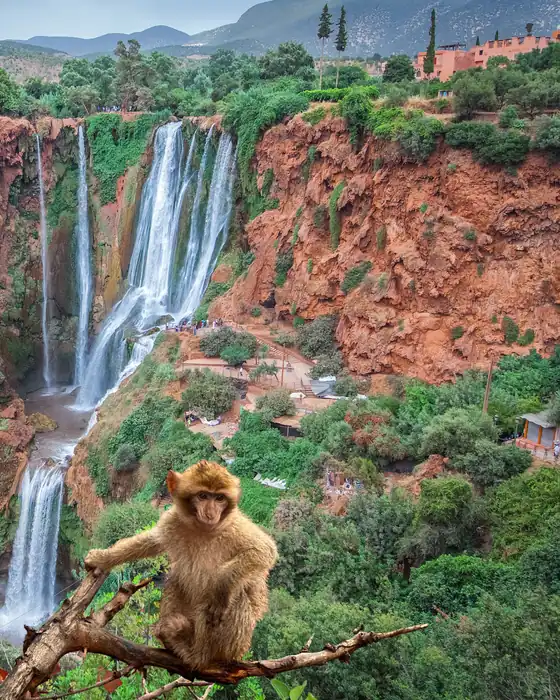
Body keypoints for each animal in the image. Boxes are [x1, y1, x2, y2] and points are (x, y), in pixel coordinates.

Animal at [85, 460, 278, 670]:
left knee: (237, 595)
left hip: (233, 648)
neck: (202, 529)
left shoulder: (235, 526)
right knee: (176, 579)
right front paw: (104, 558)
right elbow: (152, 542)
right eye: (203, 496)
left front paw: (222, 587)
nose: (211, 513)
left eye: (219, 498)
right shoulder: (173, 520)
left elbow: (263, 551)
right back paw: (174, 639)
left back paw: (197, 654)